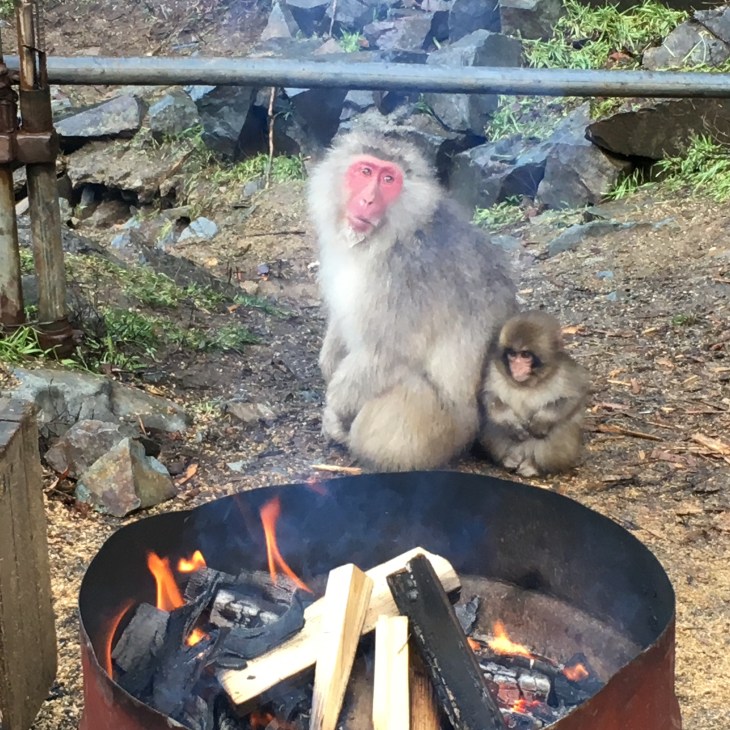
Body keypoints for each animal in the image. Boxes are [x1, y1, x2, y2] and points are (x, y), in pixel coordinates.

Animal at [307, 121, 518, 471]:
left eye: (388, 180)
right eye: (365, 171)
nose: (367, 200)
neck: (386, 238)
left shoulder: (406, 274)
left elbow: (389, 352)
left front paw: (335, 409)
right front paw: (327, 364)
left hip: (442, 427)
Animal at [479, 310, 590, 477]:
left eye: (525, 355)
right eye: (513, 354)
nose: (517, 368)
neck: (527, 383)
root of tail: (522, 454)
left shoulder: (565, 370)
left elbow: (574, 396)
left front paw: (541, 421)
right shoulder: (493, 368)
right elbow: (490, 397)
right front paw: (511, 424)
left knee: (562, 426)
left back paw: (534, 466)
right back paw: (509, 460)